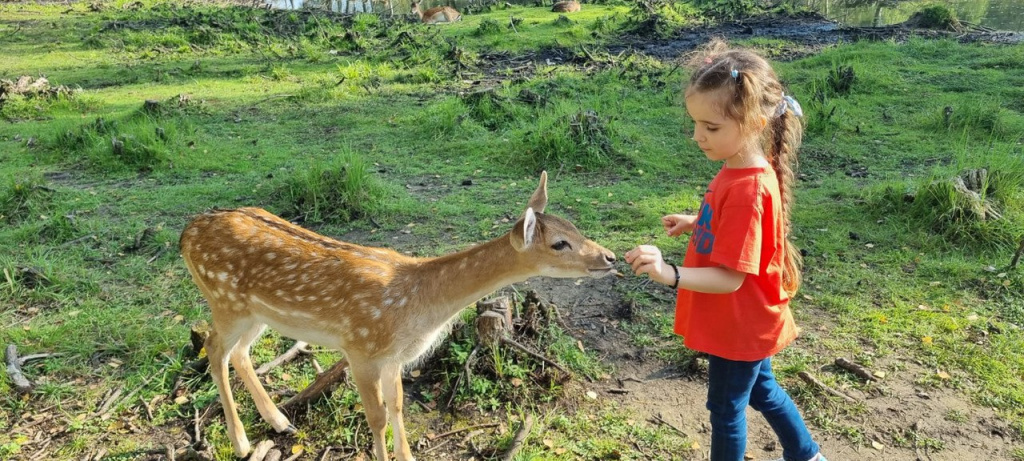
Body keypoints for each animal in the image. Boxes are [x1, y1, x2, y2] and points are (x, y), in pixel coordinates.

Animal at [178, 171, 614, 458]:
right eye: (559, 243)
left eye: (575, 227)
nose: (610, 257)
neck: (417, 309)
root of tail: (185, 233)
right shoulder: (361, 349)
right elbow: (378, 419)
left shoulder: (395, 358)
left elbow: (399, 407)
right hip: (225, 300)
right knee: (214, 351)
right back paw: (241, 442)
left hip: (256, 314)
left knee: (239, 353)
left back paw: (280, 422)